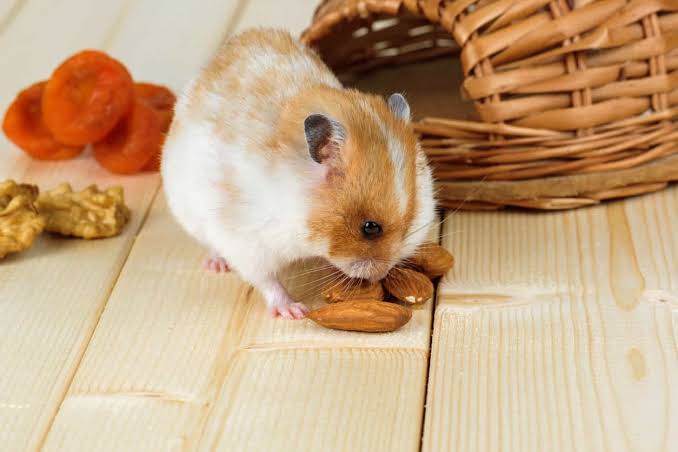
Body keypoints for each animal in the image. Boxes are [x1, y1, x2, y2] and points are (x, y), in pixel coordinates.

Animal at [161, 28, 436, 319]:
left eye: (411, 220)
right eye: (370, 228)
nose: (380, 275)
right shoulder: (246, 241)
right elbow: (267, 280)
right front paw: (295, 311)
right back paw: (217, 264)